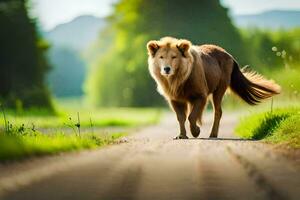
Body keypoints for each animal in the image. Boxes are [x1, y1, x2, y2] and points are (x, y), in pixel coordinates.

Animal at [146, 36, 280, 139]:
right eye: (161, 57)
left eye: (174, 57)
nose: (166, 69)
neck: (177, 79)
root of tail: (230, 56)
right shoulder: (175, 98)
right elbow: (181, 117)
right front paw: (181, 135)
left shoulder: (201, 95)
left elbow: (191, 116)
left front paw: (196, 131)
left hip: (219, 89)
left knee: (218, 111)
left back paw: (213, 134)